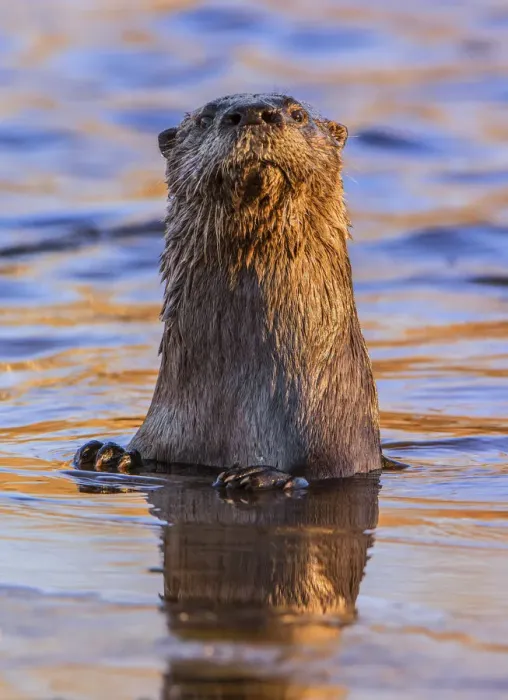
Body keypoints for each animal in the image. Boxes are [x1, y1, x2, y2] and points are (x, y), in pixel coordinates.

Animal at [73, 92, 383, 489]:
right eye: (205, 118)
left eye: (298, 114)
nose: (252, 114)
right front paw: (106, 453)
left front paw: (259, 475)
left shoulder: (343, 456)